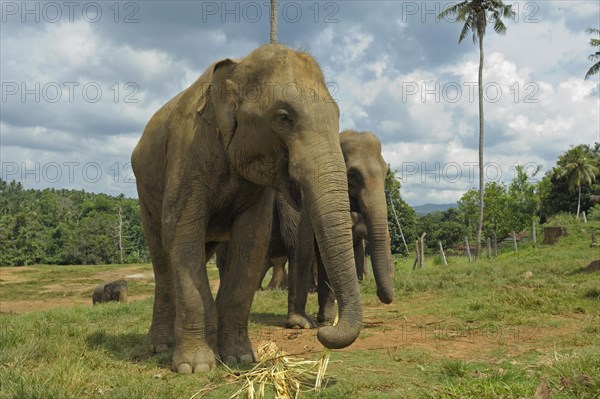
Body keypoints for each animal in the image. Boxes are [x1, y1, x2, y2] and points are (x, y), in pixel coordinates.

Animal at [132, 44, 364, 376]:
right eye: (283, 117)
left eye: (336, 116)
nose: (321, 328)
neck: (238, 67)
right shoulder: (186, 152)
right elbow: (182, 231)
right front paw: (195, 368)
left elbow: (252, 241)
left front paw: (239, 359)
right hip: (144, 189)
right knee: (163, 258)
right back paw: (161, 348)